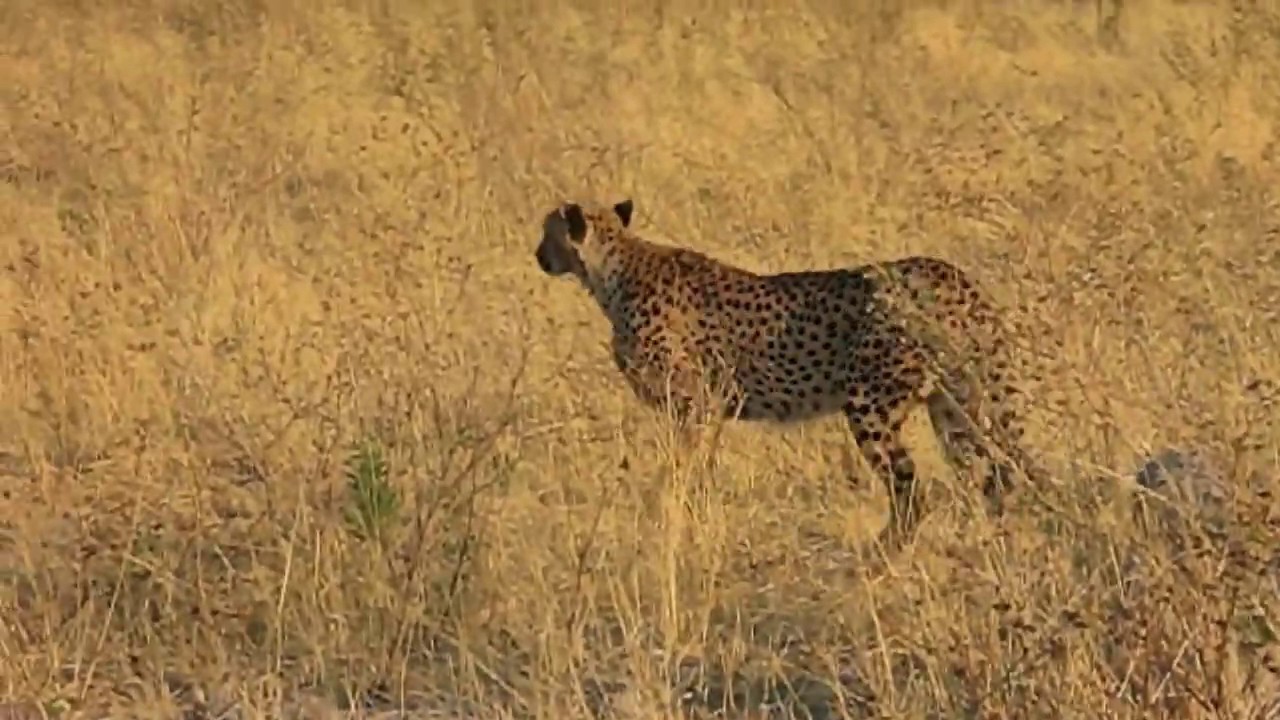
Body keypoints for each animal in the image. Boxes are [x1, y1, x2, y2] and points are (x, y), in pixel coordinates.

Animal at [534, 197, 1047, 551]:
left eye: (547, 232)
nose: (537, 255)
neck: (612, 268)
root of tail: (949, 273)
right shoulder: (710, 410)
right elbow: (698, 469)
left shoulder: (694, 406)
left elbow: (680, 468)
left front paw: (668, 514)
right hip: (954, 406)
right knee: (996, 474)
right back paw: (993, 541)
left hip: (871, 405)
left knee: (913, 487)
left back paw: (880, 553)